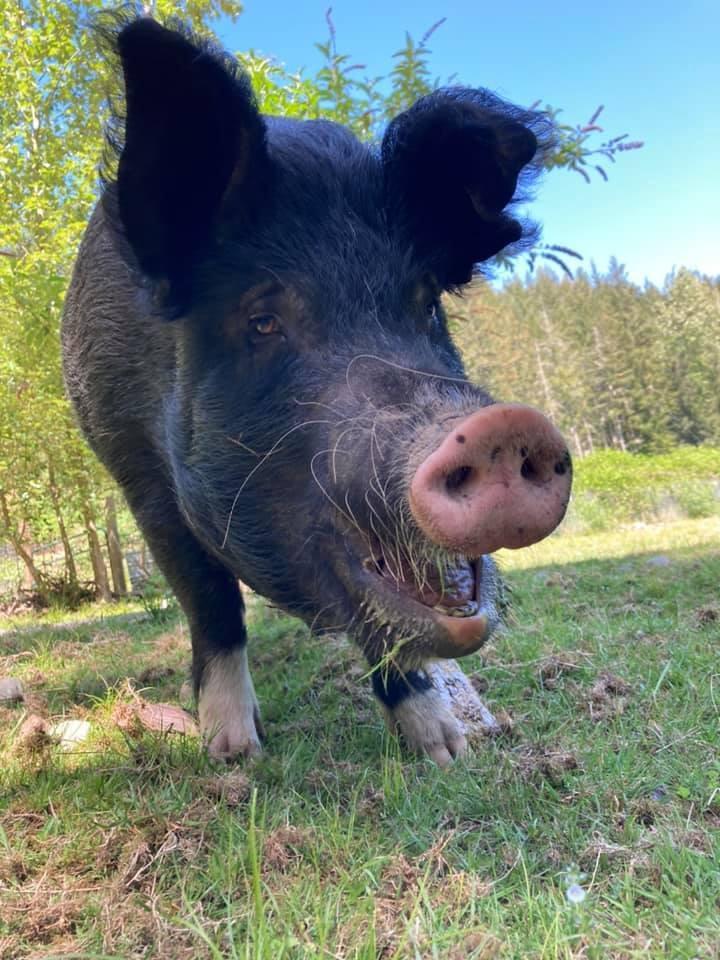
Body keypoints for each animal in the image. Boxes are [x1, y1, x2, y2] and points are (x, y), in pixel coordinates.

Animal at [61, 16, 572, 766]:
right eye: (262, 321)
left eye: (426, 305)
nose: (503, 427)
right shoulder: (138, 472)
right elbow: (210, 600)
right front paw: (232, 753)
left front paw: (446, 751)